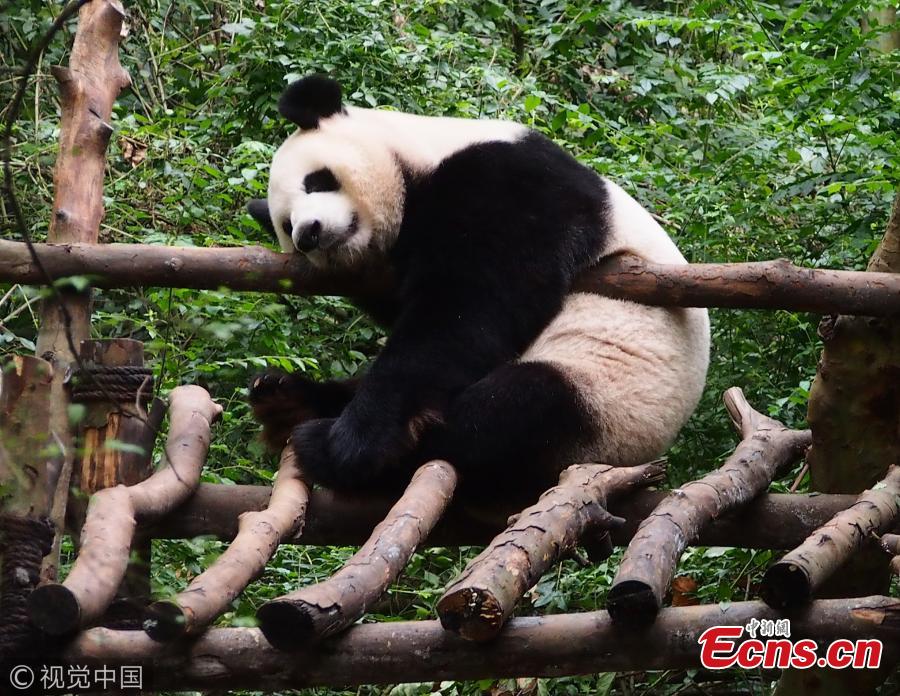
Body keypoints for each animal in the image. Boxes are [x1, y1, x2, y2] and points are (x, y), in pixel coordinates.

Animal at [248, 74, 710, 507]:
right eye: (286, 226)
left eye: (316, 181)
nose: (309, 234)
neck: (423, 154)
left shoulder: (510, 182)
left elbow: (467, 305)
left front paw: (354, 442)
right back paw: (285, 400)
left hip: (611, 398)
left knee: (511, 413)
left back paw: (323, 444)